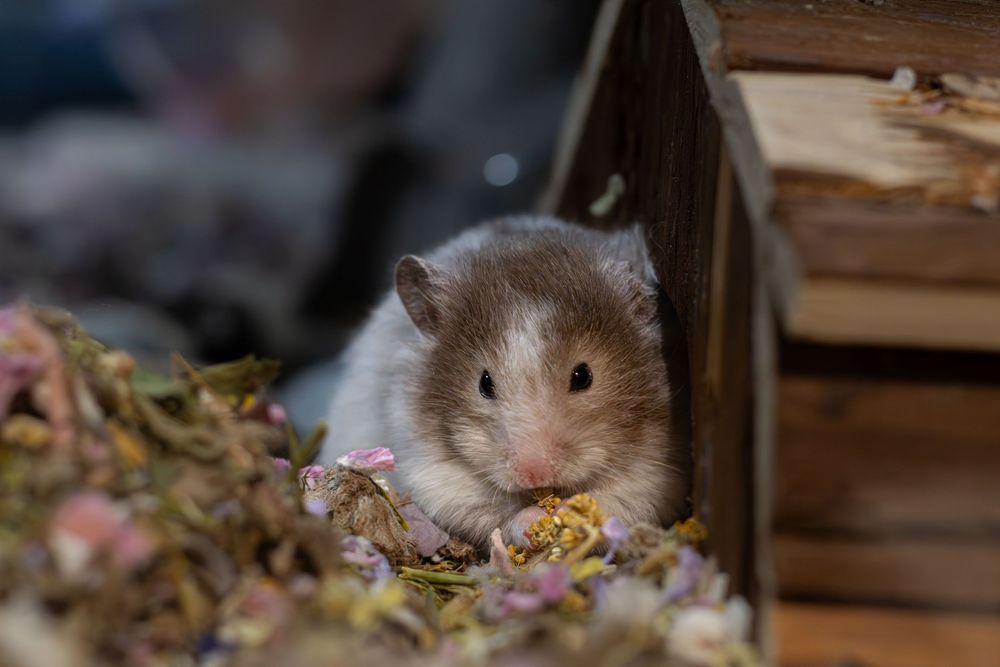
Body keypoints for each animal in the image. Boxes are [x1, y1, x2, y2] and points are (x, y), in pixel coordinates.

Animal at [319, 216, 687, 549]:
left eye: (583, 376)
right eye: (484, 384)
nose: (535, 474)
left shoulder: (656, 474)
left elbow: (617, 500)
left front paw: (566, 511)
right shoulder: (432, 472)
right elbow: (492, 512)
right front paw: (535, 520)